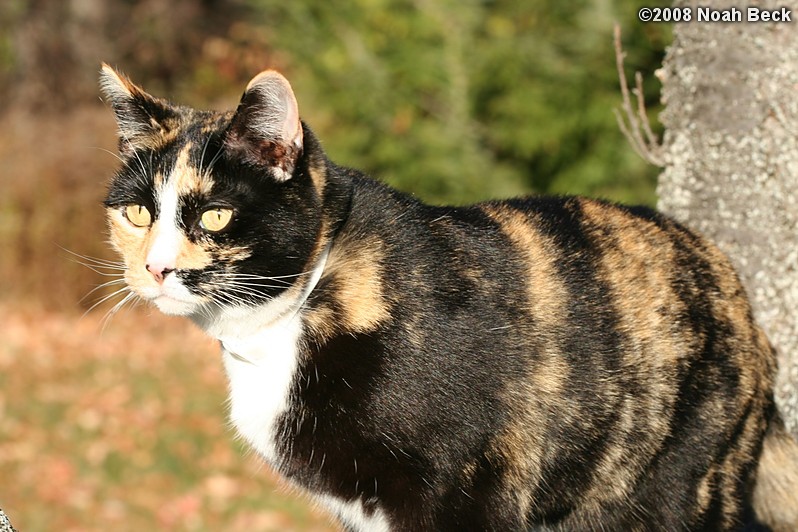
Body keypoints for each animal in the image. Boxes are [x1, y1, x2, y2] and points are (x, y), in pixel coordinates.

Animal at [101, 63, 798, 532]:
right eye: (137, 213)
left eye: (215, 216)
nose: (157, 268)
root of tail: (745, 308)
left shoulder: (465, 495)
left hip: (681, 487)